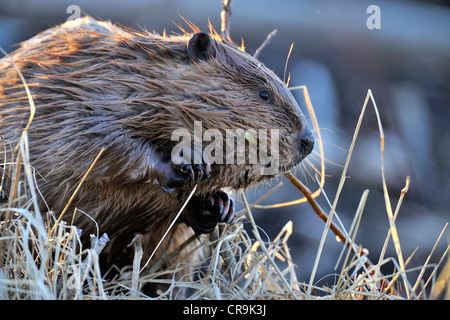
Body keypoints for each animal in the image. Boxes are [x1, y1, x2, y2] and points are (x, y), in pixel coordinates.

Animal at [0, 18, 314, 284]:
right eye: (264, 94)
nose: (308, 141)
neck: (139, 81)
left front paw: (218, 205)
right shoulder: (77, 102)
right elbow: (97, 143)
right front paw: (189, 163)